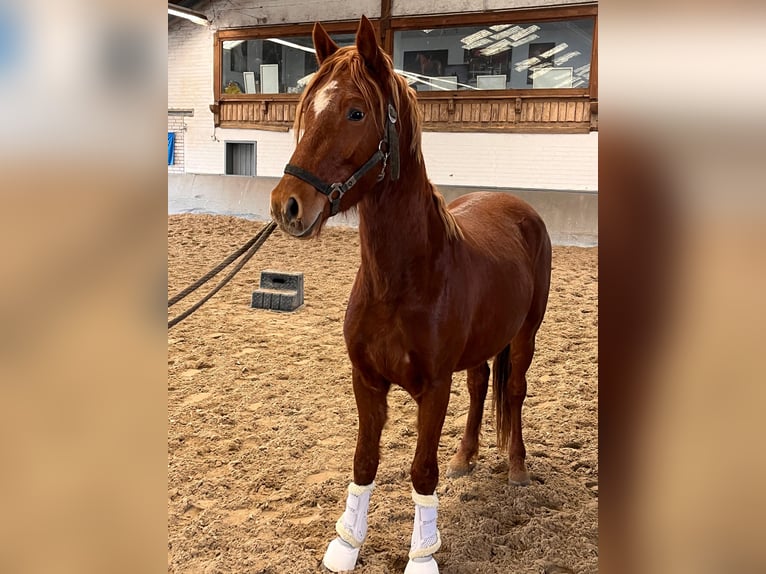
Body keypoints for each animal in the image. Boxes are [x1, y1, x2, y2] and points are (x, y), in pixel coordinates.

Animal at [270, 15, 552, 572]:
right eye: (307, 108)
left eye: (356, 112)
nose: (286, 205)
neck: (399, 283)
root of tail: (517, 207)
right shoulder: (366, 381)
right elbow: (364, 461)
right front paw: (346, 544)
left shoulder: (433, 388)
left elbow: (422, 470)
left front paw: (422, 555)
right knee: (480, 385)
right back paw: (464, 457)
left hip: (526, 334)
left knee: (512, 390)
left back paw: (516, 468)